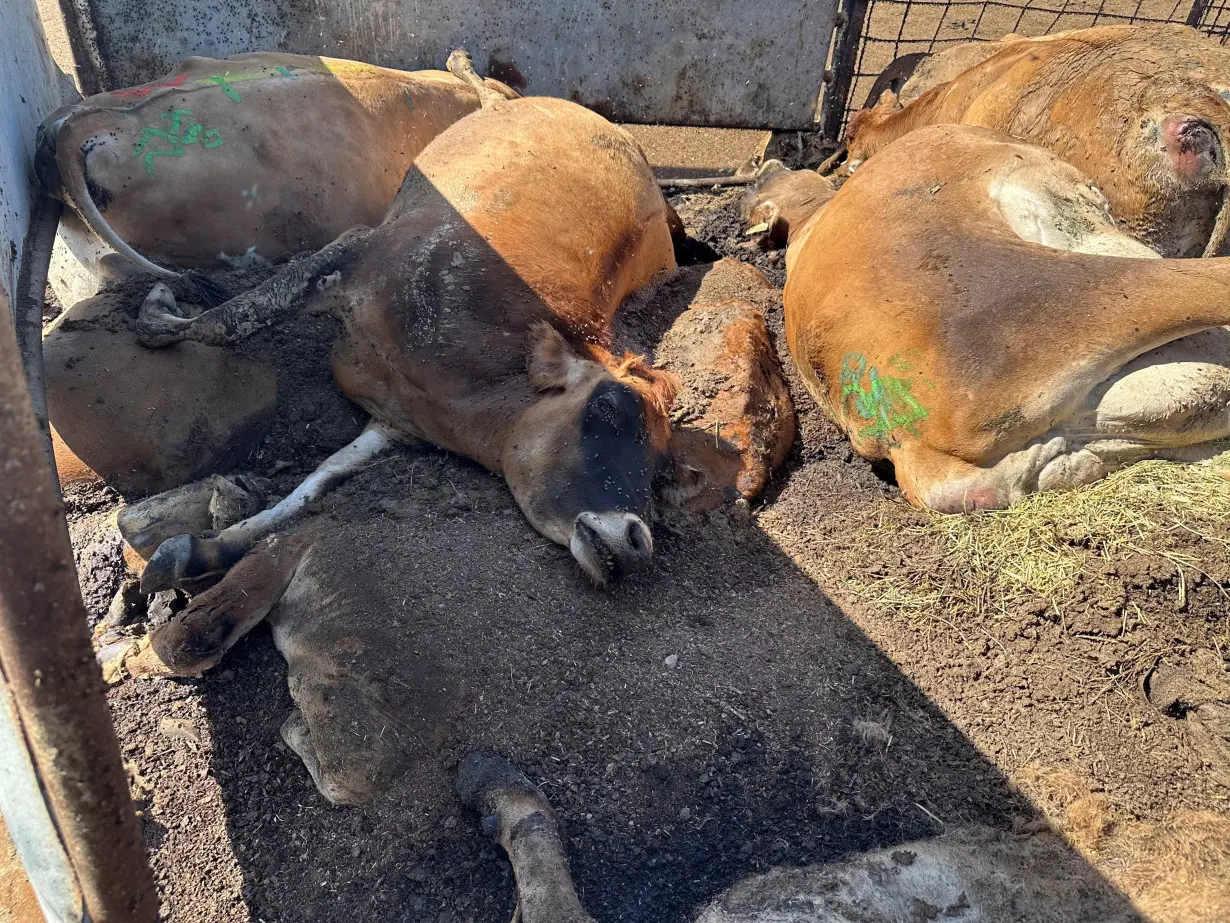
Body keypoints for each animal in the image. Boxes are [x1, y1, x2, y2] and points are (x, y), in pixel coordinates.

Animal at [132, 50, 683, 588]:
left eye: (661, 462)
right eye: (607, 406)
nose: (636, 541)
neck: (469, 378)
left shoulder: (393, 424)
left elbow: (321, 479)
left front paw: (206, 548)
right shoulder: (356, 253)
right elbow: (230, 318)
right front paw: (158, 309)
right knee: (493, 95)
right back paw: (461, 63)